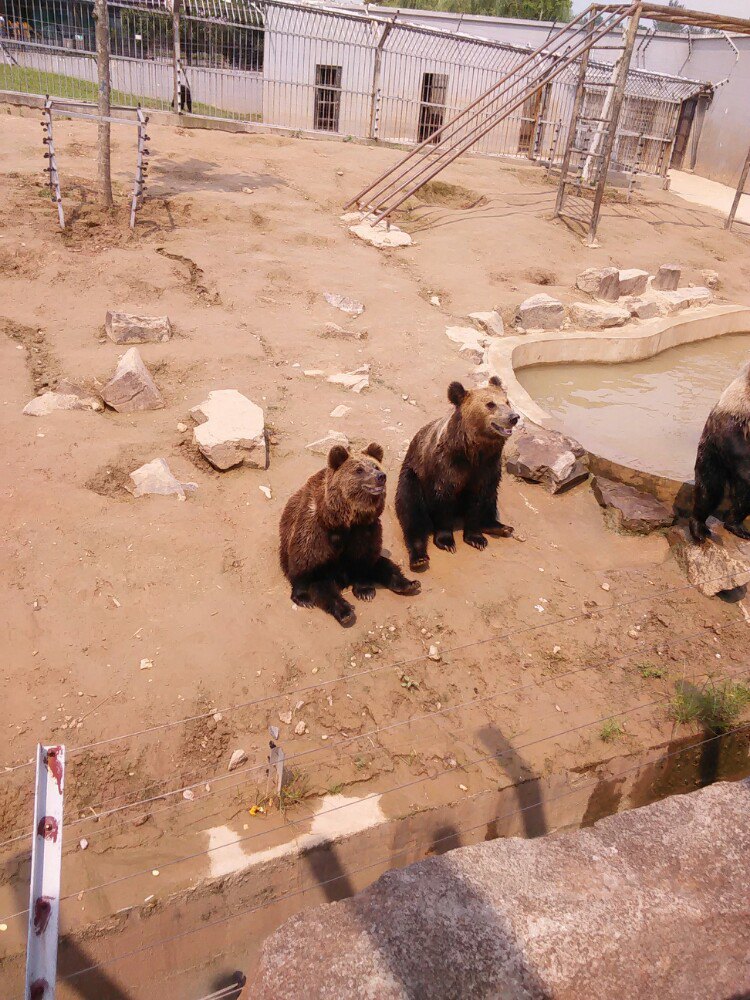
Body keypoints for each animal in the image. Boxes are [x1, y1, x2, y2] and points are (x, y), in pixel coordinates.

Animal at [282, 444, 424, 624]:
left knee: (384, 565)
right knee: (325, 589)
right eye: (359, 470)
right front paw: (302, 597)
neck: (344, 519)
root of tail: (342, 579)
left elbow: (363, 558)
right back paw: (345, 612)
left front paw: (365, 591)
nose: (380, 476)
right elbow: (305, 561)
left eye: (376, 466)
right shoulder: (316, 530)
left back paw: (409, 584)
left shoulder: (365, 530)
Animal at [396, 378, 520, 576]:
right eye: (490, 404)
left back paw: (502, 527)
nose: (513, 417)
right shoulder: (446, 467)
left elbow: (479, 499)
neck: (474, 452)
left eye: (507, 402)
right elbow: (442, 500)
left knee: (491, 499)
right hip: (411, 477)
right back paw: (419, 558)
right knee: (411, 511)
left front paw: (476, 538)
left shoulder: (487, 468)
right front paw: (446, 541)